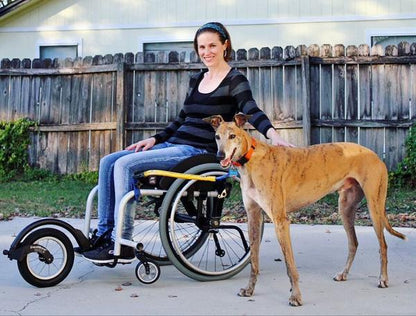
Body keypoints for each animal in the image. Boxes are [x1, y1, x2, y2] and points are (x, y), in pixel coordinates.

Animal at [205, 113, 406, 306]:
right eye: (217, 137)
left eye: (232, 136)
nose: (220, 155)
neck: (252, 158)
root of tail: (375, 155)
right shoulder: (253, 216)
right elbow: (254, 260)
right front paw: (249, 290)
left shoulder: (281, 221)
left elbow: (290, 266)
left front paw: (296, 296)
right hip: (345, 208)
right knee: (354, 243)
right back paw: (343, 274)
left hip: (374, 206)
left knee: (383, 245)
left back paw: (383, 279)